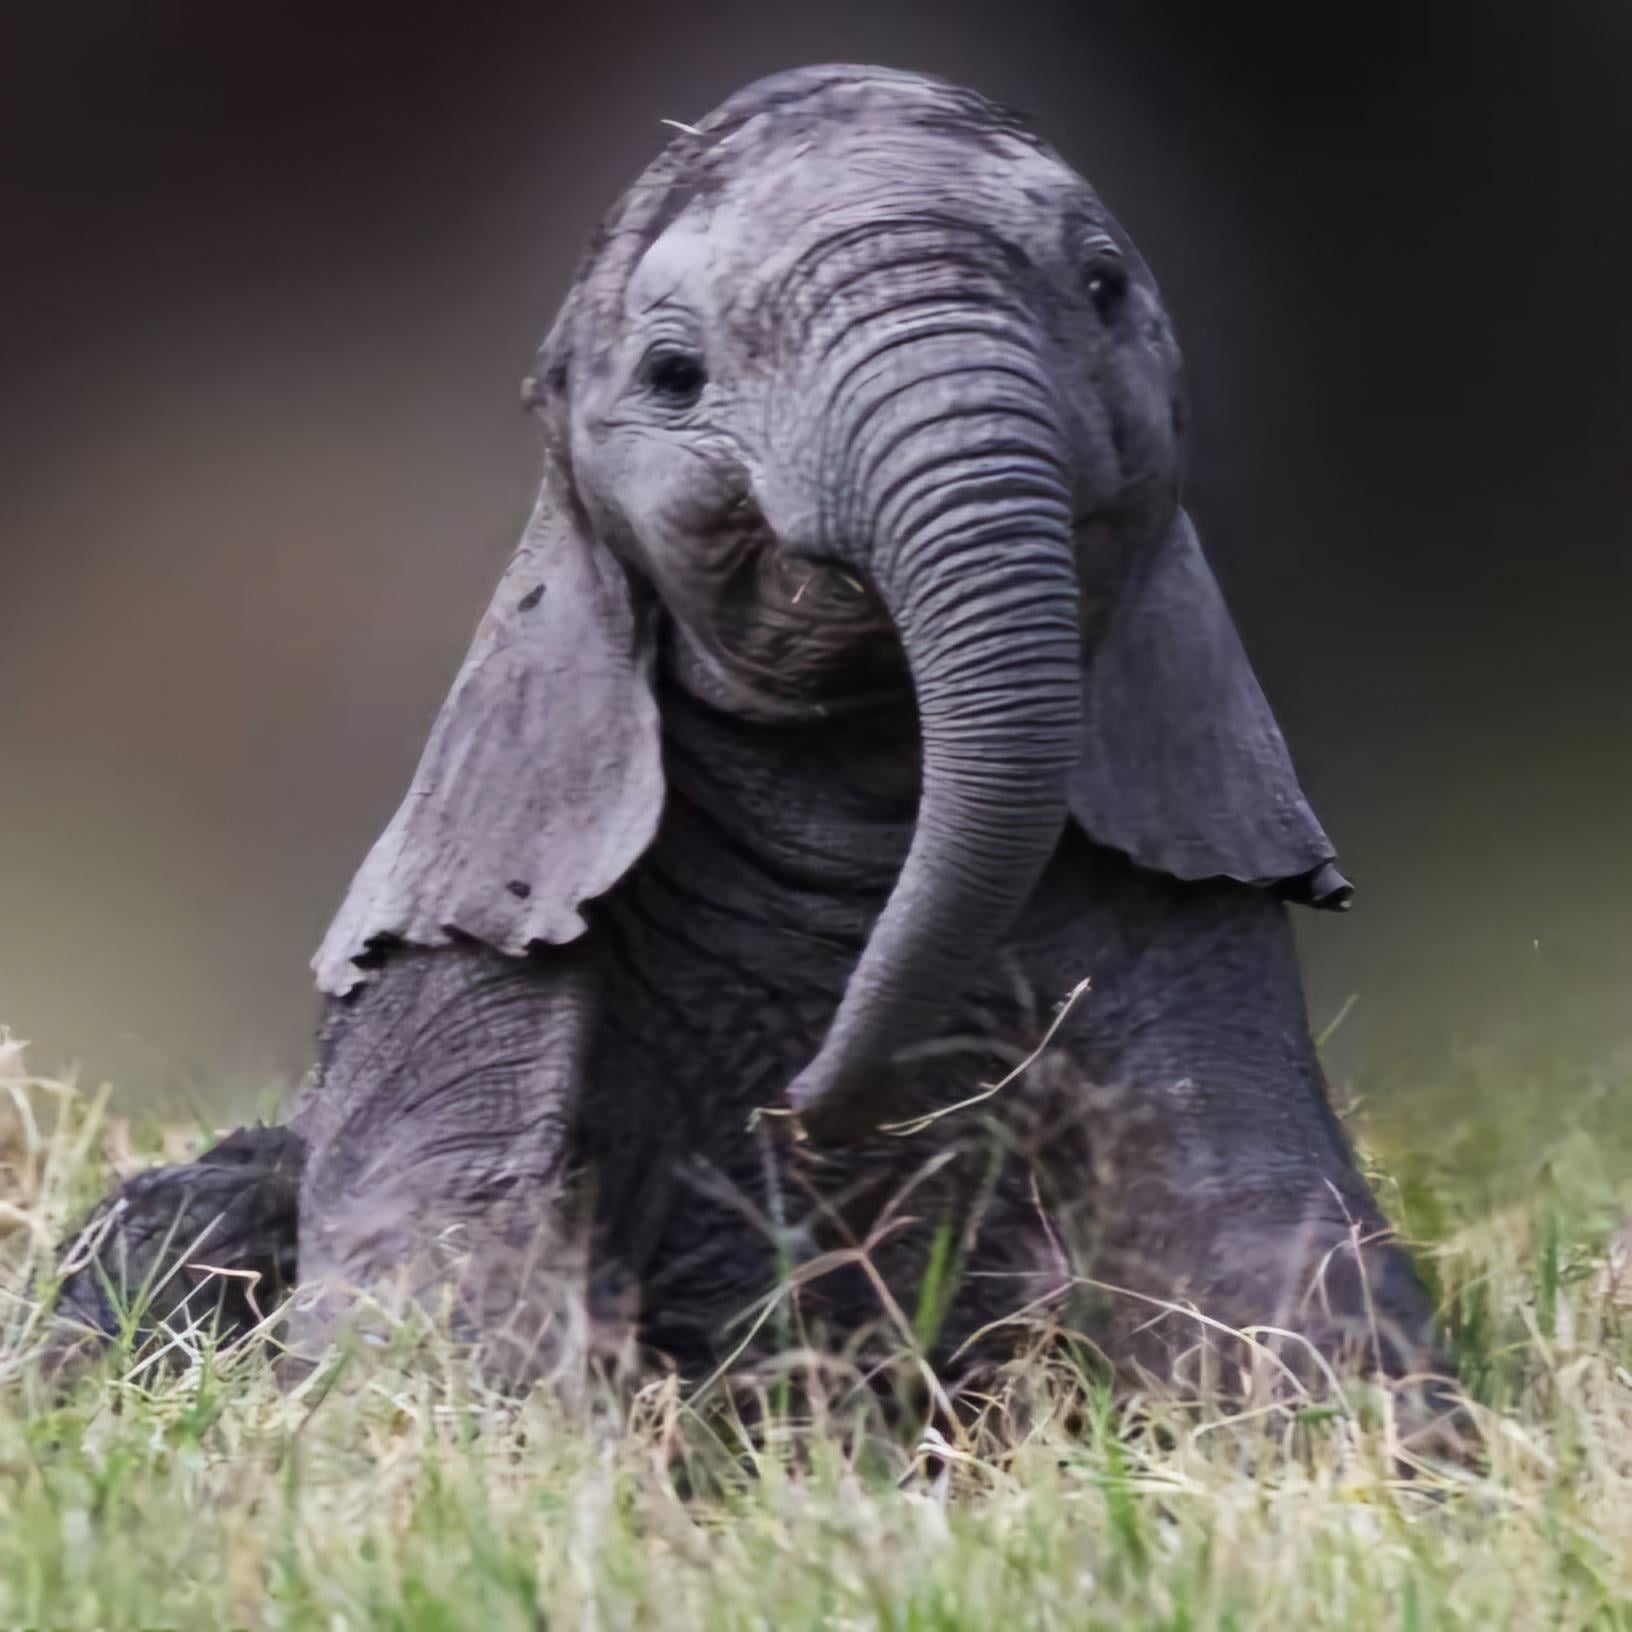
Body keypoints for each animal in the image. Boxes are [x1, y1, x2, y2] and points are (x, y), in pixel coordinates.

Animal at [55, 64, 1448, 1406]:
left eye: (1104, 290)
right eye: (674, 376)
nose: (812, 1108)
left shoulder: (1206, 908)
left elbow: (1273, 1250)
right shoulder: (458, 952)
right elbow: (445, 1277)